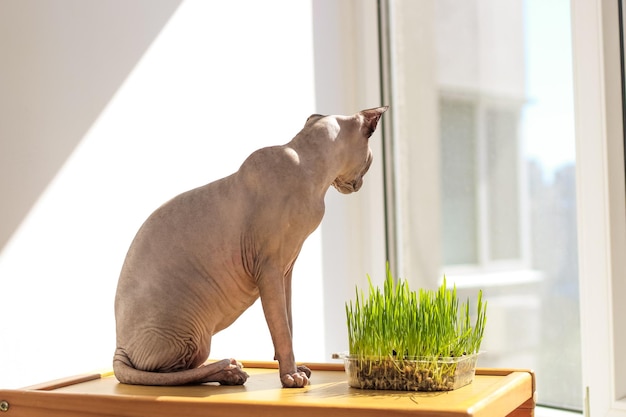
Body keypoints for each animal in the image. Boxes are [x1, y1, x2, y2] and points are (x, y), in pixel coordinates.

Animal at [112, 105, 386, 386]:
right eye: (370, 162)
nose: (359, 185)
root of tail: (118, 347)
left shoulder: (286, 269)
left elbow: (288, 323)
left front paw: (297, 368)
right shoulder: (269, 268)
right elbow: (281, 330)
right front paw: (291, 376)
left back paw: (231, 372)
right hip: (192, 331)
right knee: (173, 375)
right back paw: (230, 369)